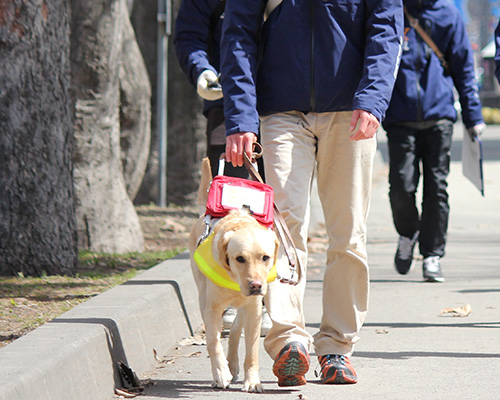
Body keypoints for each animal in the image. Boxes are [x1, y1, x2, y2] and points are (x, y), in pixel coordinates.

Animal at [189, 158, 280, 392]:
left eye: (265, 258)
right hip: (202, 295)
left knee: (237, 331)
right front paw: (220, 374)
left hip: (247, 307)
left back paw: (233, 362)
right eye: (240, 258)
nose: (256, 285)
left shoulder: (254, 310)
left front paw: (253, 381)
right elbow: (213, 342)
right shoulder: (211, 309)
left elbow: (252, 351)